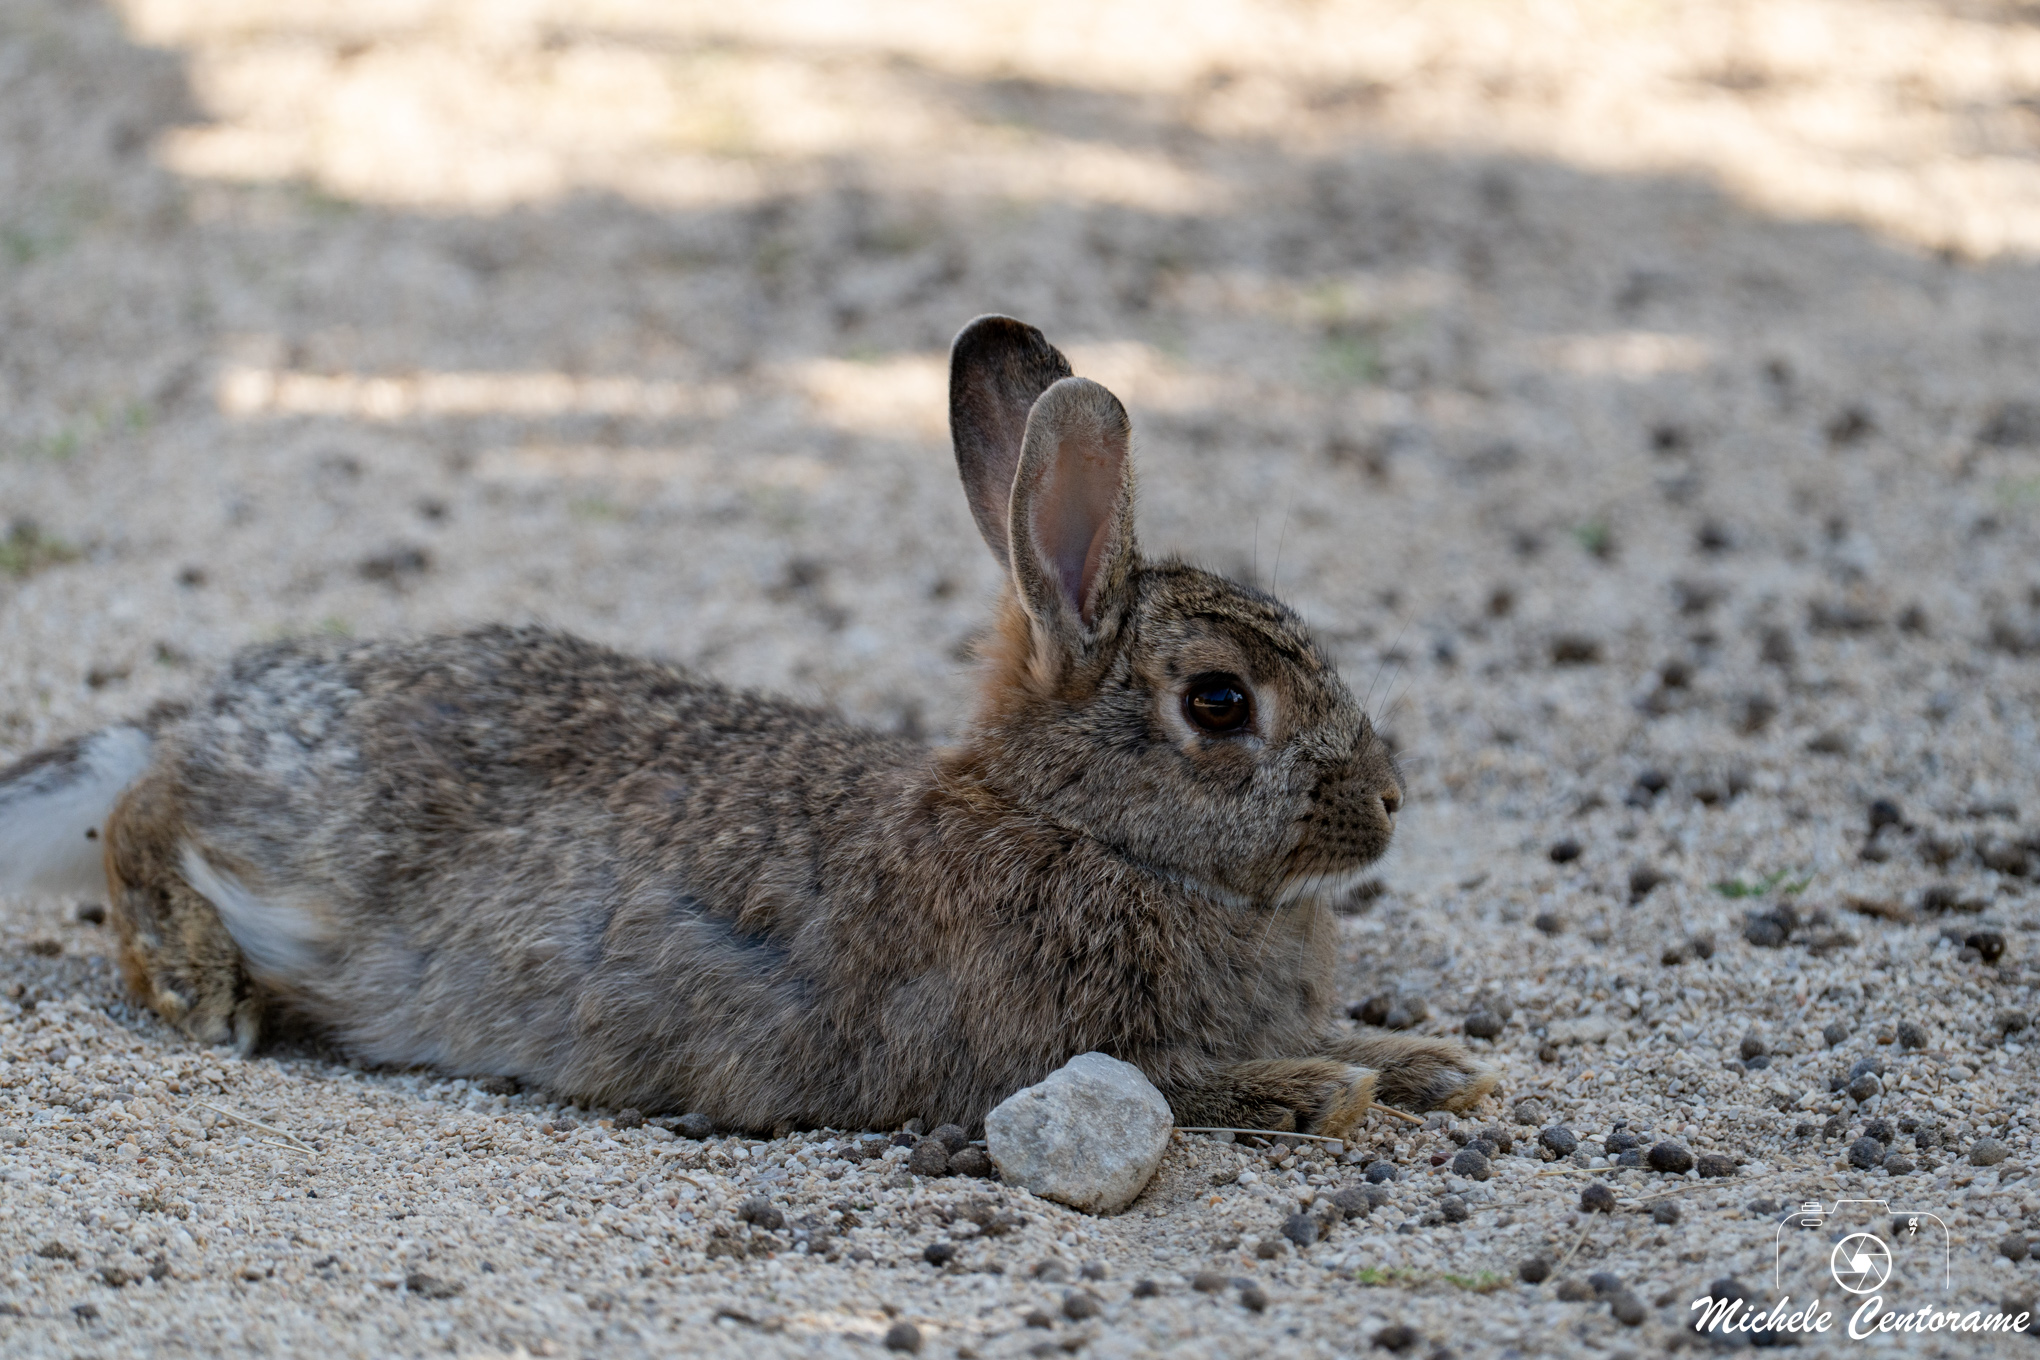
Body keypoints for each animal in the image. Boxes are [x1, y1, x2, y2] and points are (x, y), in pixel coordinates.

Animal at [0, 315, 1495, 1137]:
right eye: (1221, 702)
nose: (1389, 803)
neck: (1073, 827)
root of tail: (228, 704)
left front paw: (1437, 1066)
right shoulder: (1029, 1057)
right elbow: (1193, 1084)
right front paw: (1316, 1093)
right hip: (306, 853)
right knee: (148, 805)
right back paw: (197, 978)